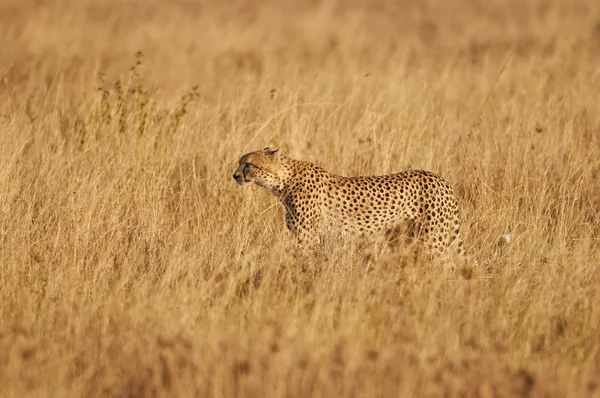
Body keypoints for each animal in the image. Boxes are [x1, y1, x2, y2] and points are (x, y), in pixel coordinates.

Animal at [233, 148, 464, 256]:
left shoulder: (306, 238)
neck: (283, 181)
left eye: (249, 164)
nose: (235, 175)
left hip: (433, 241)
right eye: (240, 163)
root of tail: (441, 179)